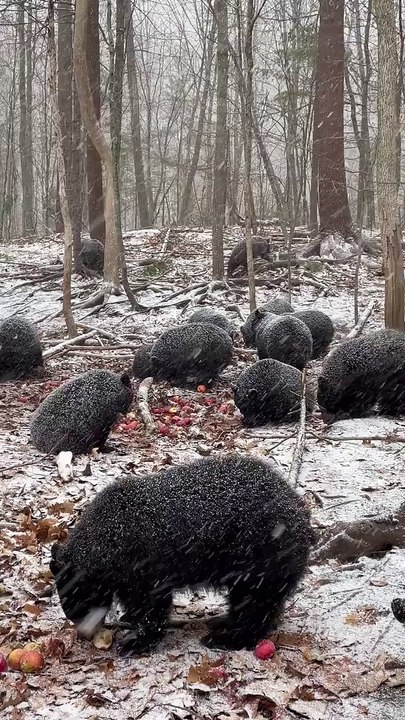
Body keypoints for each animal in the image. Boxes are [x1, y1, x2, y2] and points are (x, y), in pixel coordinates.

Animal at [49, 454, 314, 654]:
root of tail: (300, 511)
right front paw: (130, 620)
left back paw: (228, 637)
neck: (108, 537)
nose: (83, 633)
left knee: (255, 604)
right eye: (66, 600)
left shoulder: (144, 567)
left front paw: (138, 642)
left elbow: (152, 606)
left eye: (79, 599)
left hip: (259, 557)